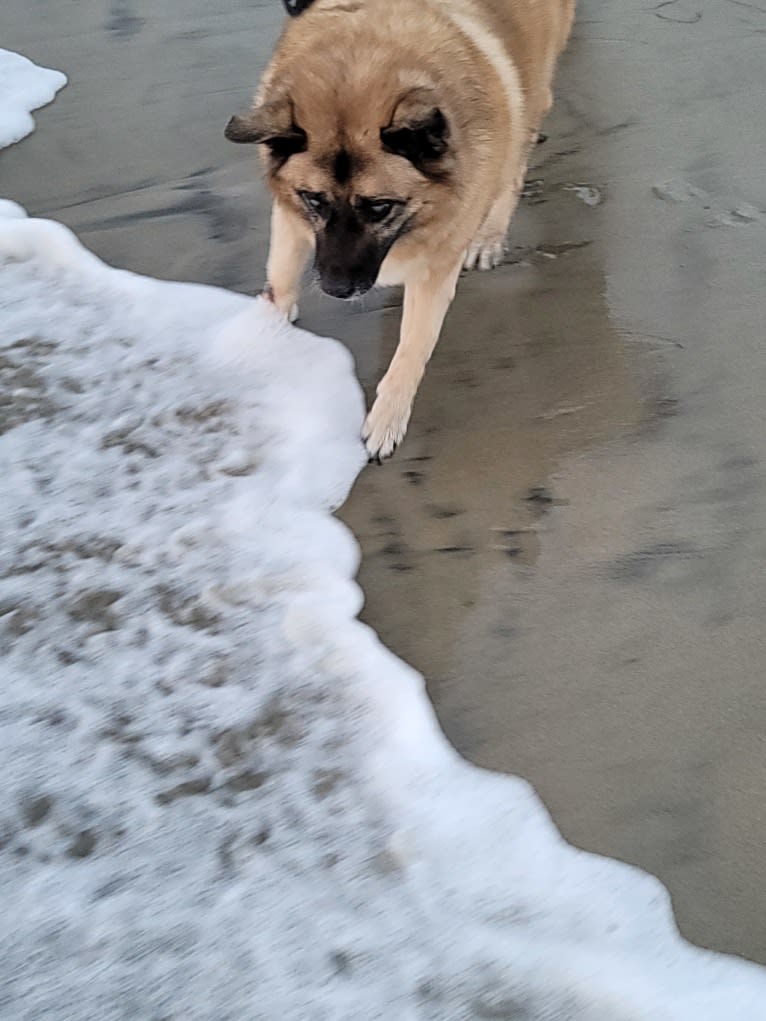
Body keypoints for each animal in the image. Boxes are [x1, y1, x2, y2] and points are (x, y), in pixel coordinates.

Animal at [226, 0, 576, 459]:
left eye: (380, 207)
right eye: (314, 200)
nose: (335, 289)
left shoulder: (433, 274)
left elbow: (410, 352)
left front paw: (387, 419)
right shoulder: (290, 218)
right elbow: (280, 278)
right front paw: (266, 332)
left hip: (528, 105)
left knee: (514, 166)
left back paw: (489, 235)